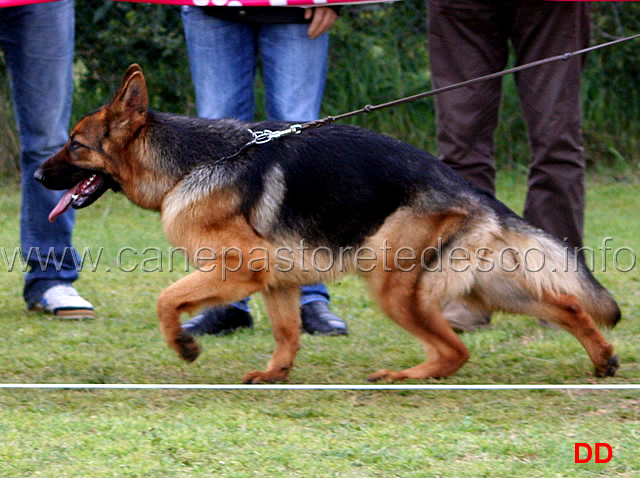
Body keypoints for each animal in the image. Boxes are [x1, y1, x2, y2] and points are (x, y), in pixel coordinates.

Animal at [36, 65, 620, 382]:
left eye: (75, 144)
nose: (39, 172)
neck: (189, 163)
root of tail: (470, 190)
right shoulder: (276, 279)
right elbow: (286, 331)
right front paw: (276, 373)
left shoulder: (241, 268)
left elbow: (165, 299)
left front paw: (183, 344)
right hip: (486, 285)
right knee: (566, 306)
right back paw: (603, 358)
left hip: (392, 284)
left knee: (455, 351)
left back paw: (402, 376)